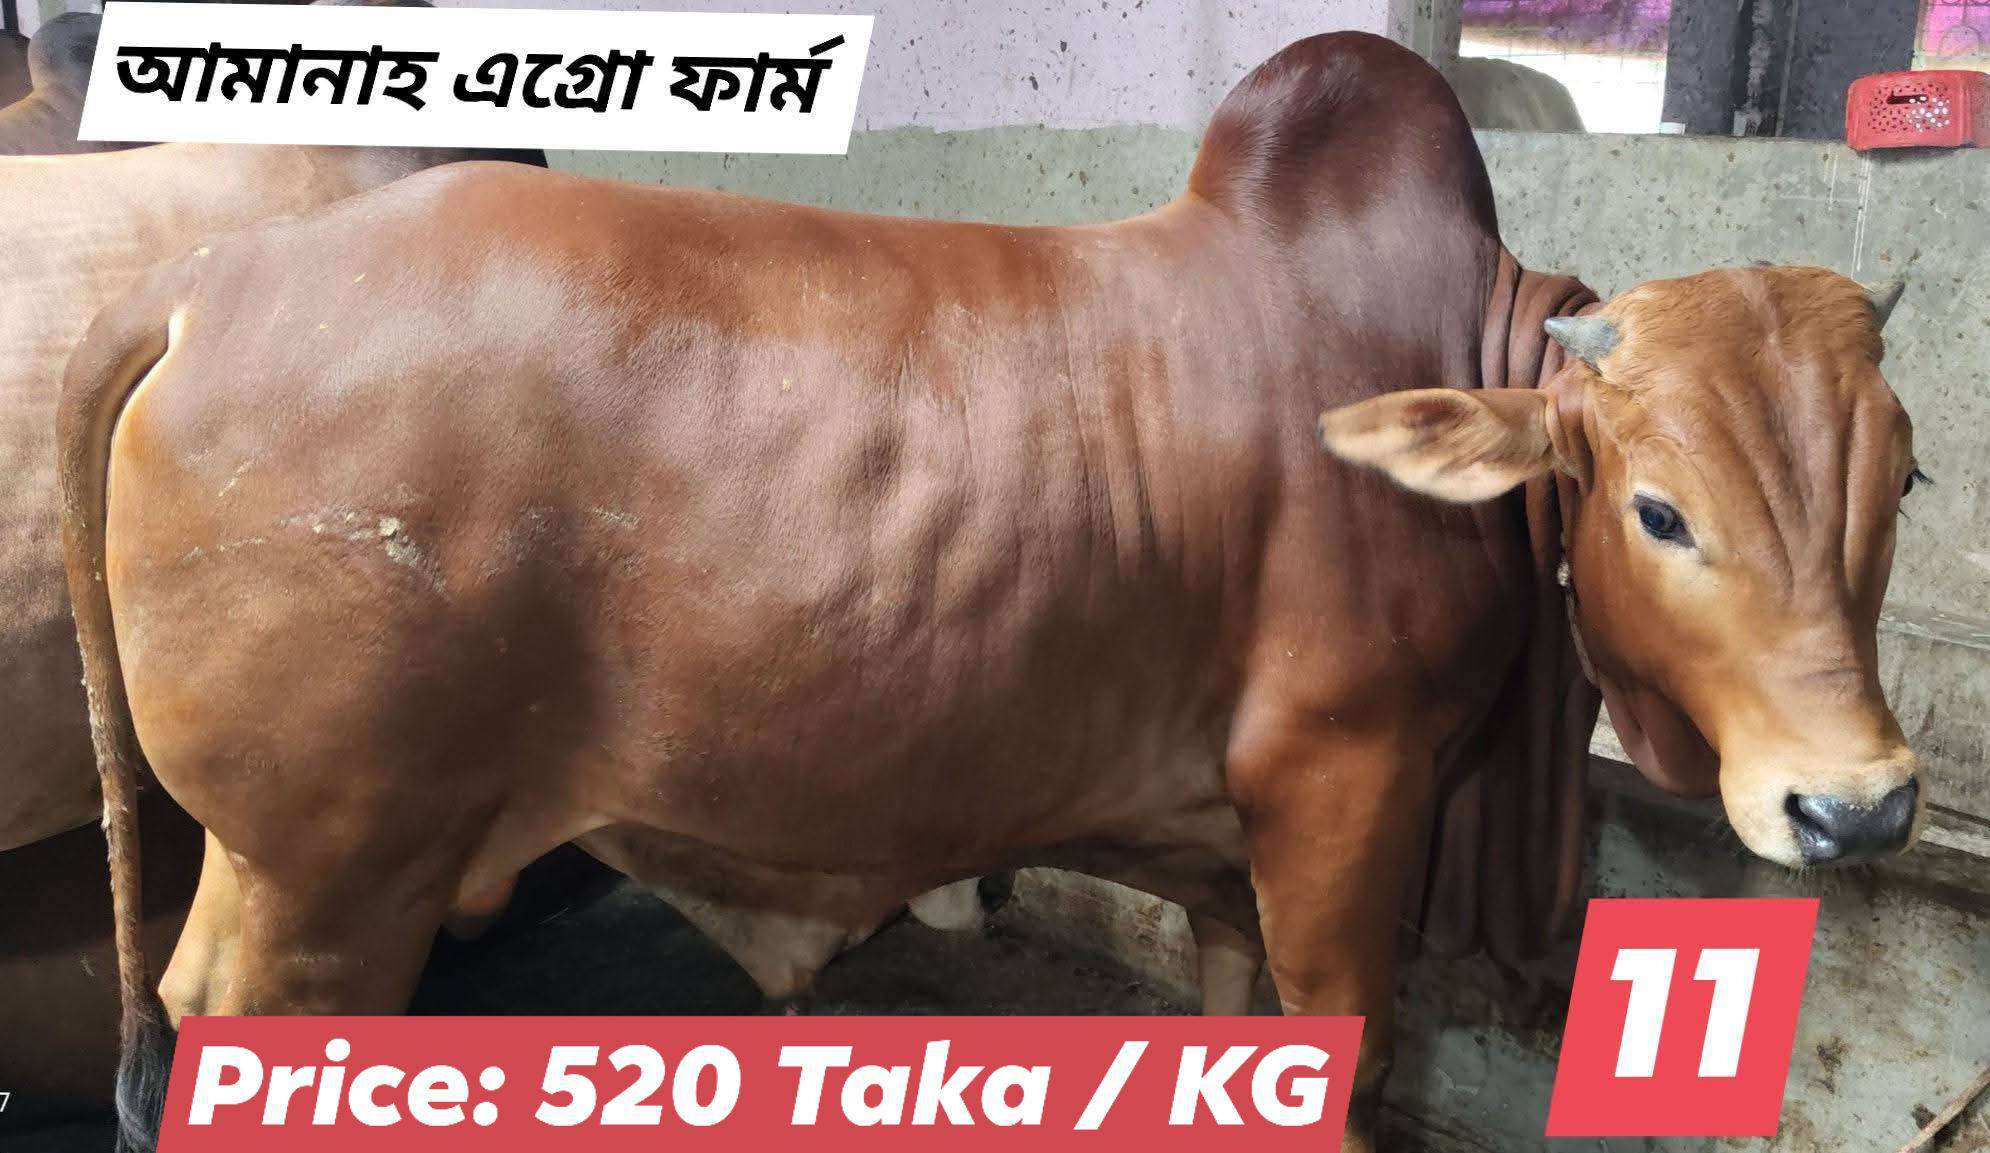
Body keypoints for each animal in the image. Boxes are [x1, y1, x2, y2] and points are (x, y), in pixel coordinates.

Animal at [59, 32, 1924, 1153]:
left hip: (280, 865)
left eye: (1899, 481)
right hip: (336, 873)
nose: (1860, 805)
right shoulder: (1345, 795)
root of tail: (211, 277)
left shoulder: (1232, 857)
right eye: (1660, 509)